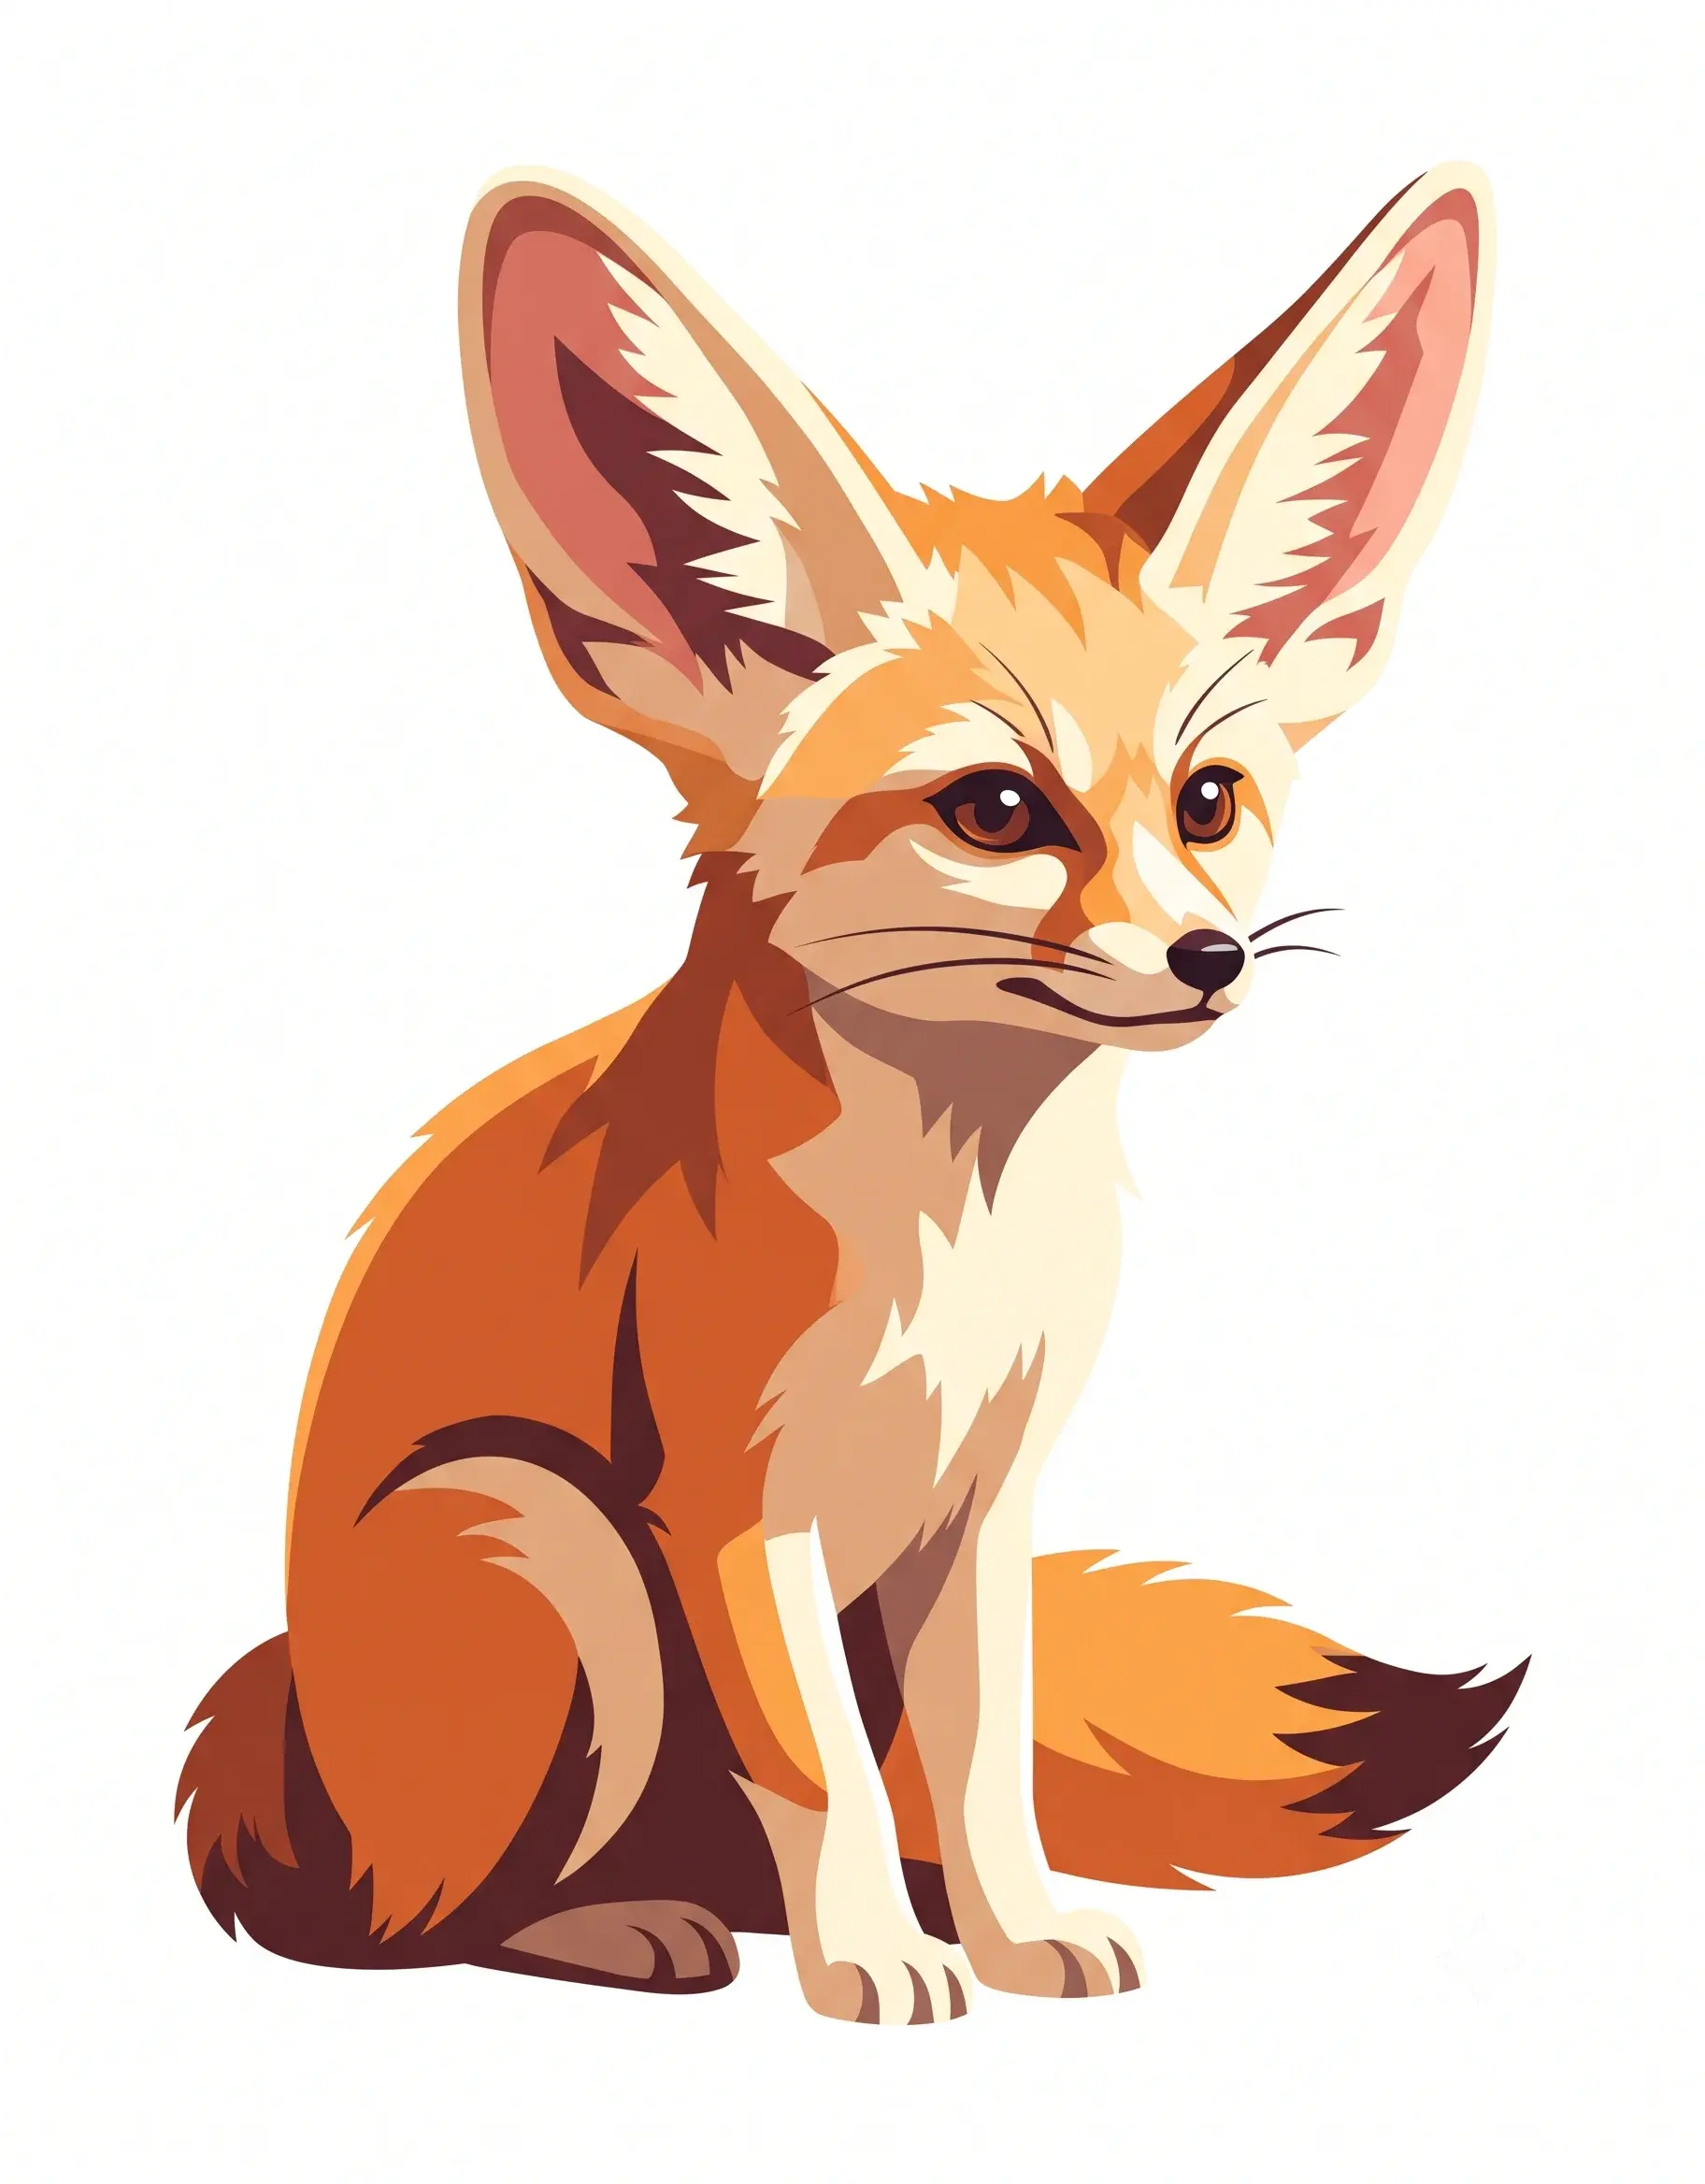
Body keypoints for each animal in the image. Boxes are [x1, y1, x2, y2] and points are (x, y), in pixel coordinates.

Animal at [178, 162, 1524, 2024]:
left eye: (1206, 801)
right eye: (995, 811)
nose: (1208, 960)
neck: (954, 1244)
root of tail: (287, 1716)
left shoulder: (985, 1504)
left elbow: (979, 1760)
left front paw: (1011, 1930)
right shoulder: (731, 1516)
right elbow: (816, 1763)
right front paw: (876, 1963)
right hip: (552, 1541)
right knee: (401, 1925)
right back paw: (621, 1924)